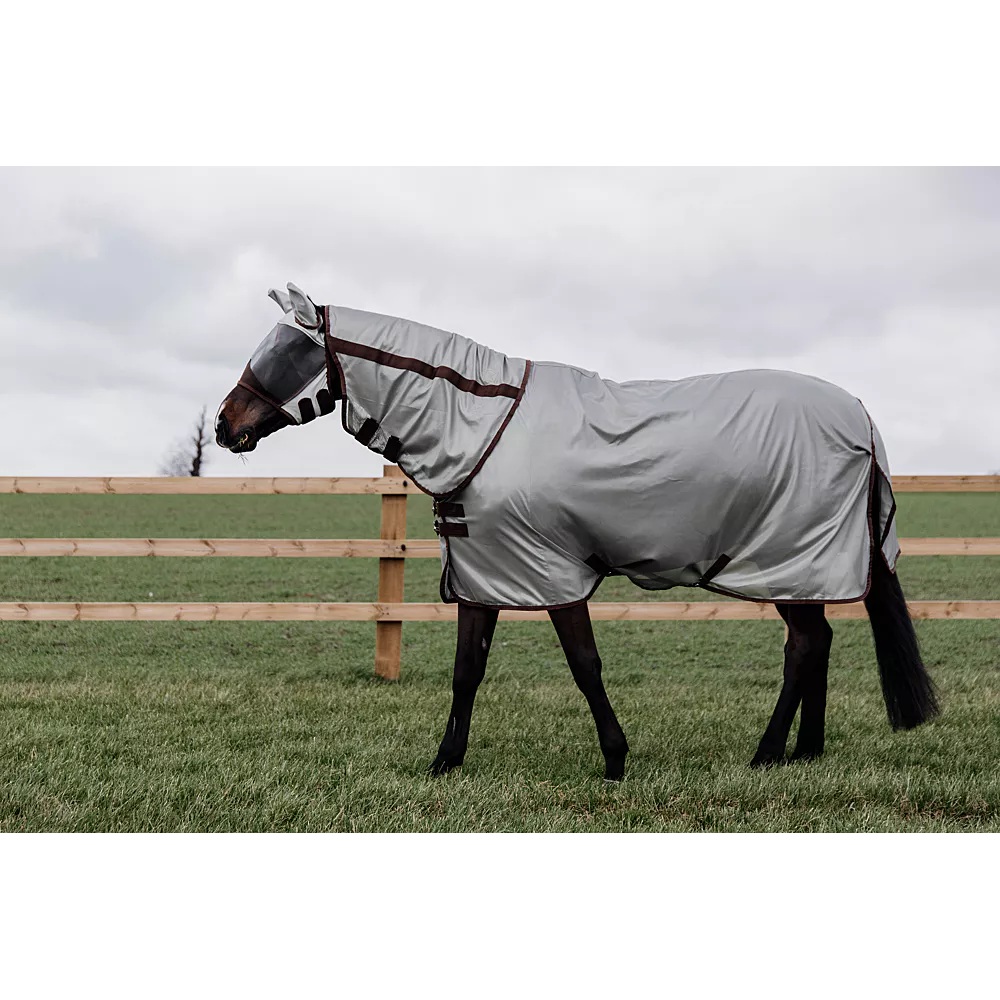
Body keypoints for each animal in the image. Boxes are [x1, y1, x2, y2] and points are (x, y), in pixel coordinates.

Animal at [215, 282, 940, 780]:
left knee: (804, 646)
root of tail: (859, 415)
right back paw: (803, 753)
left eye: (289, 351)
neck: (483, 429)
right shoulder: (485, 573)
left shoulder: (549, 573)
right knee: (817, 643)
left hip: (788, 560)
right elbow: (466, 672)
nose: (225, 425)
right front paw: (445, 761)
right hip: (800, 568)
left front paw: (615, 759)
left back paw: (766, 754)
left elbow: (585, 666)